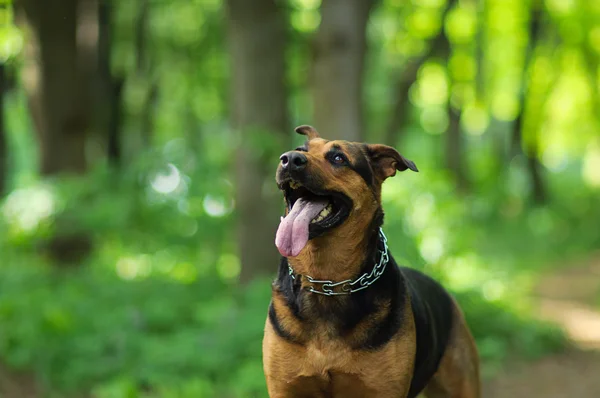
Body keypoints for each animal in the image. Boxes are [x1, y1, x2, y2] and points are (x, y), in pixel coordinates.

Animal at [260, 125, 480, 398]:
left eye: (338, 158)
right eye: (300, 150)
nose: (289, 159)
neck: (325, 281)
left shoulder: (383, 389)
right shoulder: (285, 388)